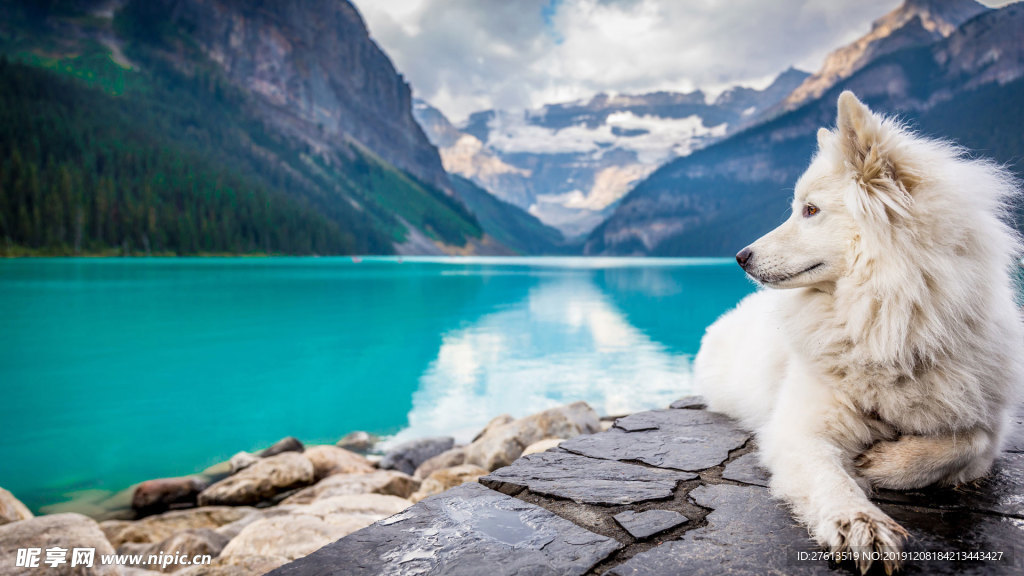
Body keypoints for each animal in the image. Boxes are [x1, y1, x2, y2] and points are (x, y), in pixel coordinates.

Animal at [696, 91, 1024, 569]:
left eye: (810, 210)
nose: (740, 257)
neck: (888, 322)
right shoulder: (800, 429)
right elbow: (831, 480)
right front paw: (858, 522)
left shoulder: (989, 422)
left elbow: (966, 442)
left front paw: (884, 462)